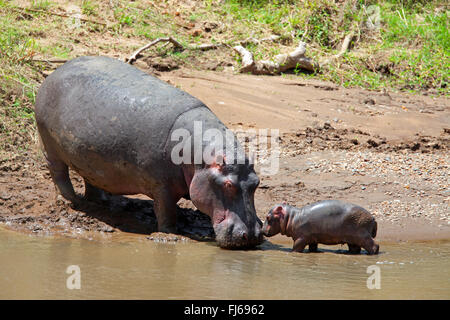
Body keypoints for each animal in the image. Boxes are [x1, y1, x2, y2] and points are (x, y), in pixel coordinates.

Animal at [35, 56, 264, 249]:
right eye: (228, 185)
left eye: (256, 183)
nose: (252, 236)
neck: (199, 157)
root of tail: (56, 71)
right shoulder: (161, 185)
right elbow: (166, 211)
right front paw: (171, 233)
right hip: (49, 144)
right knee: (58, 172)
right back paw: (70, 201)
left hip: (87, 153)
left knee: (90, 176)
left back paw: (103, 201)